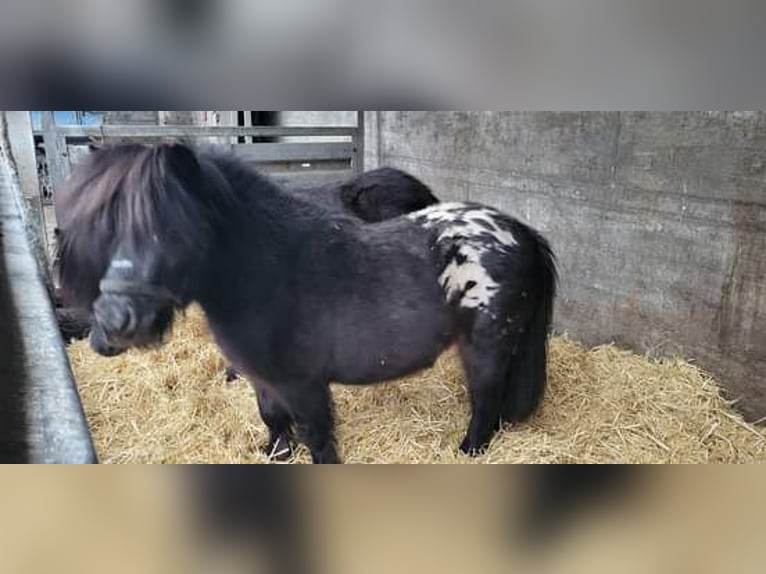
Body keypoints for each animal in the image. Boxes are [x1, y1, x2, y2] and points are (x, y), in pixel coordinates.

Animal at [55, 144, 560, 464]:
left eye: (165, 228)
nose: (109, 329)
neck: (273, 274)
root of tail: (522, 232)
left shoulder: (304, 385)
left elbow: (318, 437)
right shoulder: (266, 381)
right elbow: (274, 422)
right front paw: (275, 455)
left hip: (486, 347)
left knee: (487, 400)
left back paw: (469, 451)